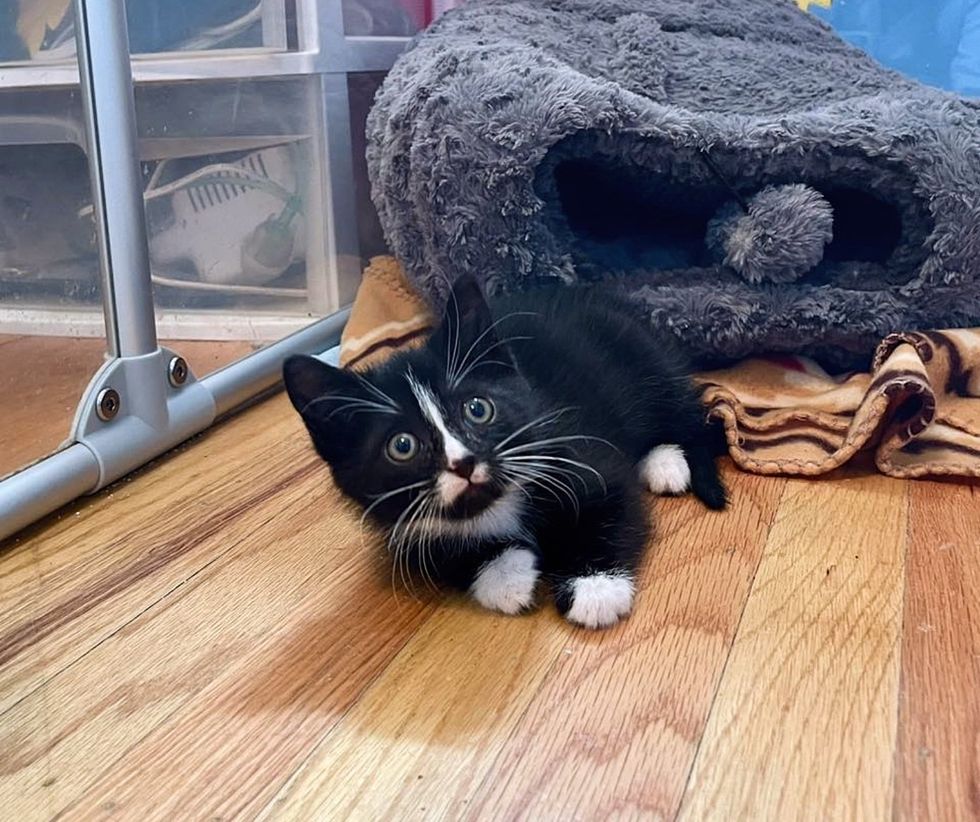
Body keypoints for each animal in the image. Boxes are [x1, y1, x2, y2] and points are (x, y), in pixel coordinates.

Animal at [280, 276, 724, 632]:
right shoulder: (404, 530)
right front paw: (507, 576)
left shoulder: (578, 451)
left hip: (646, 360)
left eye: (478, 408)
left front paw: (596, 588)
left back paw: (667, 461)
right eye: (401, 446)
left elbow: (613, 505)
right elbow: (448, 554)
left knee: (685, 414)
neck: (496, 499)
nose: (462, 463)